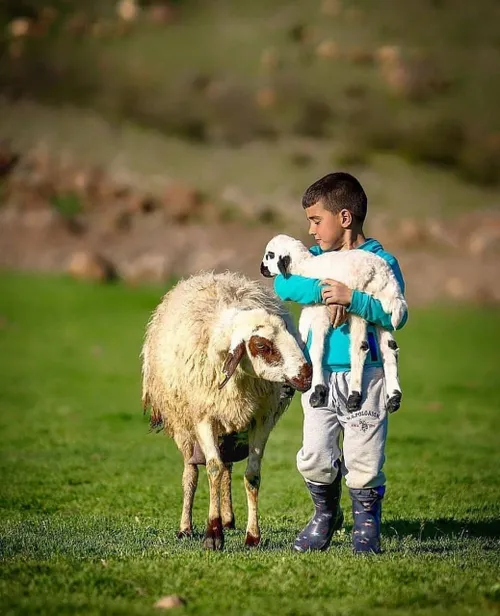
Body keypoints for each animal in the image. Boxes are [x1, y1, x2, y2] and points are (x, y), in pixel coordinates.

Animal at [142, 272, 312, 552]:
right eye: (262, 346)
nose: (307, 375)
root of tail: (212, 276)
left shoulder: (261, 421)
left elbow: (252, 475)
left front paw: (252, 536)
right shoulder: (204, 419)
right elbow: (212, 470)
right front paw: (213, 534)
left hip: (230, 432)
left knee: (228, 469)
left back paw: (229, 519)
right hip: (184, 427)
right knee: (192, 473)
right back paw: (186, 527)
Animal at [262, 236, 406, 414]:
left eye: (270, 255)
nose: (262, 269)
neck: (305, 267)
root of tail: (381, 271)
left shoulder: (321, 312)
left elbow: (316, 350)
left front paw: (318, 391)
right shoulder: (309, 310)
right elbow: (300, 340)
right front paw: (289, 386)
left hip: (357, 305)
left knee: (360, 347)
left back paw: (354, 396)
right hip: (382, 310)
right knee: (389, 348)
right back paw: (394, 398)